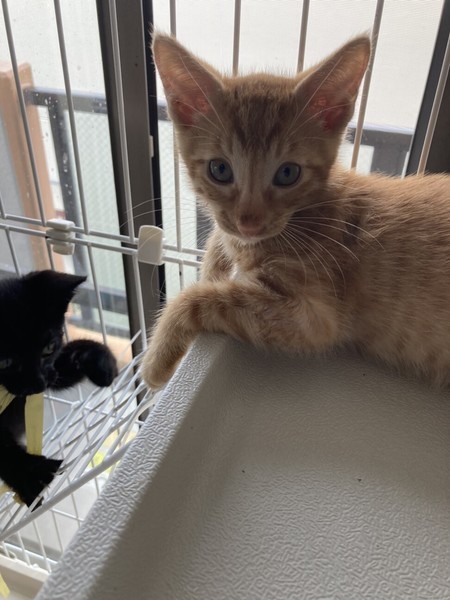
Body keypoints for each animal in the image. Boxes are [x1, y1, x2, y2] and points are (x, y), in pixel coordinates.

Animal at [0, 270, 118, 506]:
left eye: (48, 348)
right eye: (4, 362)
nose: (38, 384)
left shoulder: (52, 371)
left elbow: (63, 369)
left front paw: (100, 362)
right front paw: (31, 475)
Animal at [141, 33, 450, 391]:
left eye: (288, 173)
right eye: (220, 169)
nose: (249, 223)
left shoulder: (312, 317)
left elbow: (200, 298)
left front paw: (156, 361)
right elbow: (219, 243)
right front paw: (217, 257)